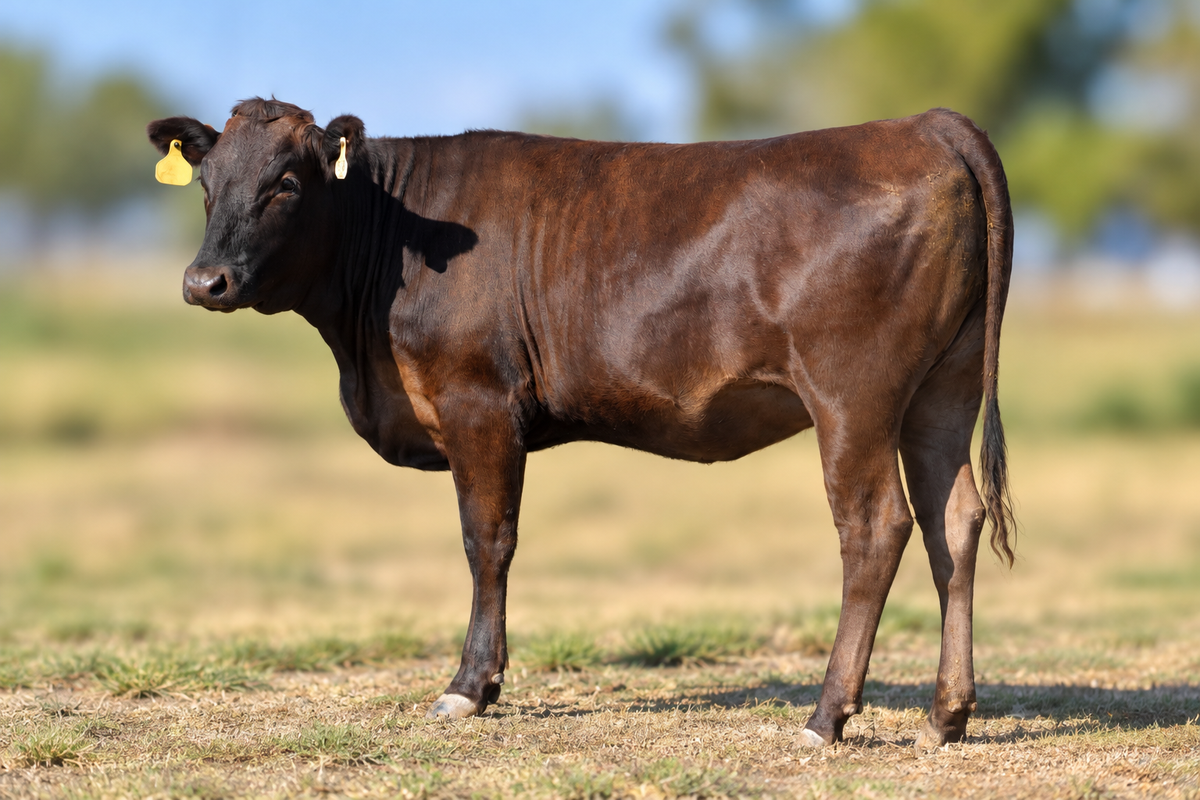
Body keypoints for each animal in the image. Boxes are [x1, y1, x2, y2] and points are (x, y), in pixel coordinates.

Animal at [147, 98, 1014, 749]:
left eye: (287, 183)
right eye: (207, 181)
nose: (204, 280)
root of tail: (923, 123)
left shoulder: (477, 402)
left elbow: (487, 540)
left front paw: (470, 687)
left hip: (851, 397)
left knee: (876, 527)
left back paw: (826, 716)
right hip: (942, 391)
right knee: (953, 520)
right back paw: (945, 716)